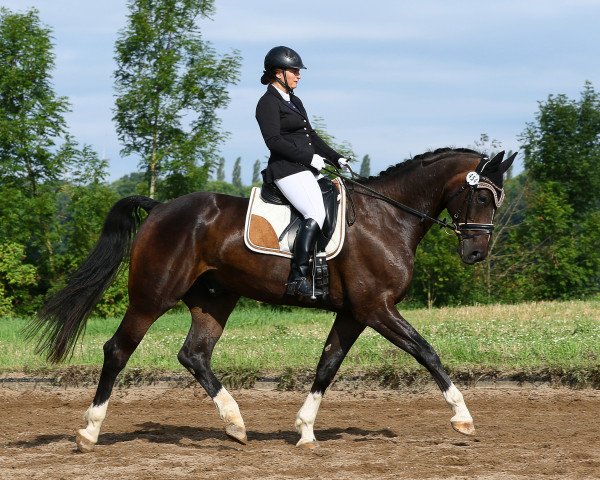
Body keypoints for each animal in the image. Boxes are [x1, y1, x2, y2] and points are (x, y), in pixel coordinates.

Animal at [28, 145, 516, 450]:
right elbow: (426, 351)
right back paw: (90, 432)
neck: (387, 217)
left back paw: (235, 424)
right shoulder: (377, 307)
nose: (476, 253)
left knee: (194, 354)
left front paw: (305, 431)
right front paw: (463, 417)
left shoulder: (355, 313)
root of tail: (160, 207)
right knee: (118, 350)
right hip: (152, 297)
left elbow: (328, 364)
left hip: (215, 299)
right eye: (480, 195)